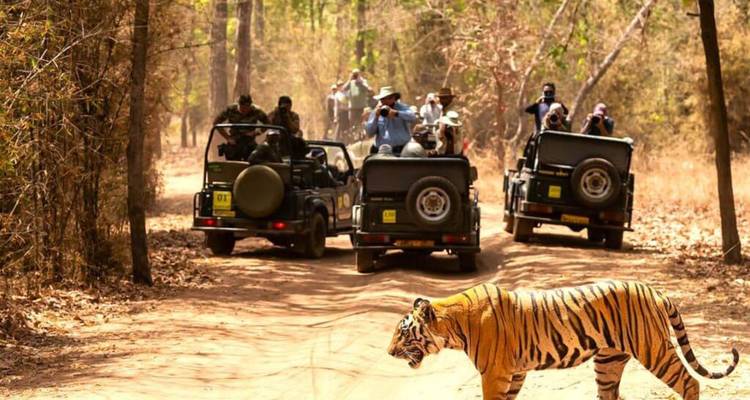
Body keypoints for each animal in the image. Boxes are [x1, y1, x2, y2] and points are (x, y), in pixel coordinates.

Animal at [387, 280, 739, 400]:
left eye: (403, 332)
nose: (389, 353)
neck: (454, 324)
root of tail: (655, 291)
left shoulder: (495, 373)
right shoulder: (514, 372)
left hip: (654, 349)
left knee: (690, 383)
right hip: (608, 362)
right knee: (611, 395)